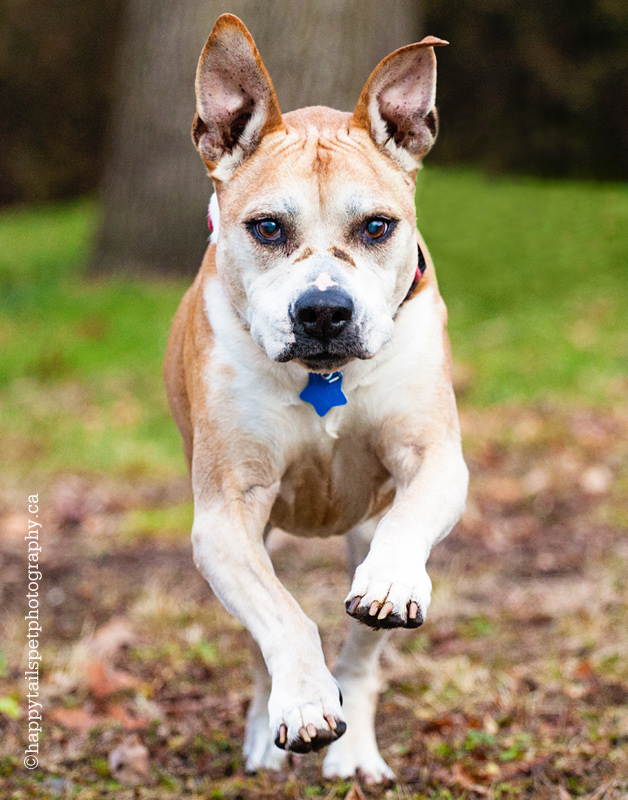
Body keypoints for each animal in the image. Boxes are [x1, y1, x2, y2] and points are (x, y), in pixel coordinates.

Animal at [164, 12, 468, 784]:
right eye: (268, 227)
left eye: (377, 227)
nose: (324, 311)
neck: (322, 375)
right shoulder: (226, 514)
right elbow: (284, 618)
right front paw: (301, 702)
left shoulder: (434, 458)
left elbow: (408, 524)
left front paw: (390, 582)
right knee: (260, 638)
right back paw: (265, 735)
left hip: (362, 527)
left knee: (361, 654)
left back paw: (356, 752)